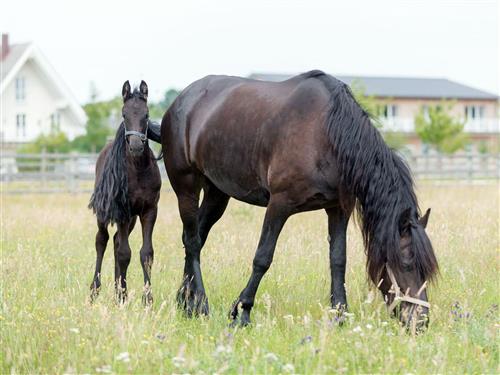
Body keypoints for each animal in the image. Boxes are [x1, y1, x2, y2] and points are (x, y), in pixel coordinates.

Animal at [89, 80, 161, 306]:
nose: (136, 146)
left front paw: (147, 298)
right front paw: (122, 297)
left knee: (115, 241)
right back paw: (95, 291)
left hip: (131, 219)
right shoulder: (121, 211)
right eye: (123, 114)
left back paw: (117, 289)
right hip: (106, 214)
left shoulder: (149, 210)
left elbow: (146, 254)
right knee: (102, 240)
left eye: (146, 114)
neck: (137, 170)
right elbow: (124, 253)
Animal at [159, 70, 438, 328]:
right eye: (406, 264)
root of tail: (181, 100)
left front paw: (339, 316)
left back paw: (185, 301)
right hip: (186, 185)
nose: (421, 322)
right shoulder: (279, 204)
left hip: (217, 193)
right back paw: (200, 304)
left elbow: (338, 260)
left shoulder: (338, 209)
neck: (328, 136)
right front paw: (242, 312)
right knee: (193, 241)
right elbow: (262, 258)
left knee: (195, 238)